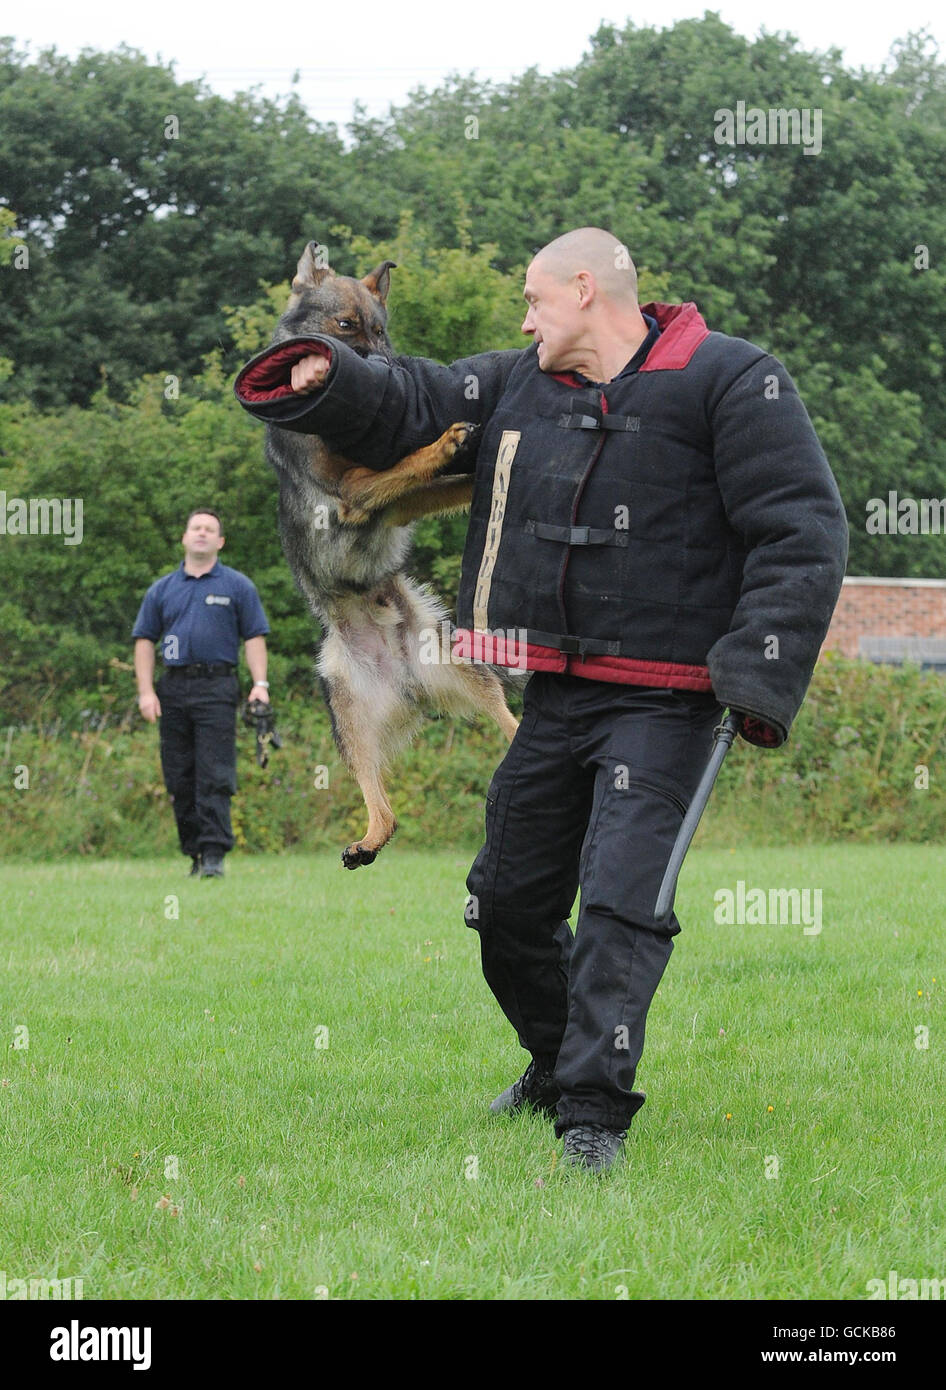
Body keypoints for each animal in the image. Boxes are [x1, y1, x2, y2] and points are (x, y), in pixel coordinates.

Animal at [262, 241, 519, 867]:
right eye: (346, 326)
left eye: (381, 331)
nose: (385, 371)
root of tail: (403, 678)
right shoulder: (357, 492)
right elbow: (404, 466)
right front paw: (446, 441)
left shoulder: (395, 503)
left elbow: (433, 481)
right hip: (347, 715)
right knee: (386, 808)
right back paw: (367, 841)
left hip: (462, 668)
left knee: (505, 723)